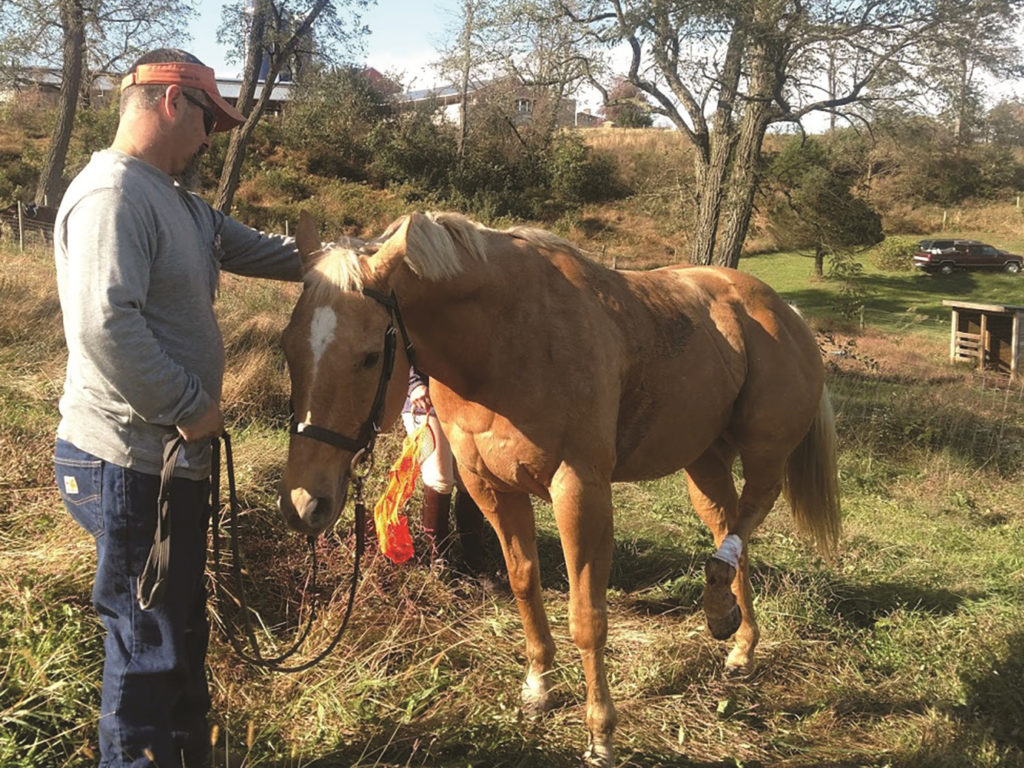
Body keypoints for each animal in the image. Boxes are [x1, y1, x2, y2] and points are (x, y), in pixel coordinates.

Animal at [280, 211, 839, 768]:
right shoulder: (492, 489)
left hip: (764, 451)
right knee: (729, 527)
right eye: (289, 346)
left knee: (751, 512)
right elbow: (524, 583)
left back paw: (725, 612)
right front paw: (538, 686)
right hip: (702, 461)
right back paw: (735, 634)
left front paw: (601, 733)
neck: (503, 339)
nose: (305, 503)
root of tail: (780, 309)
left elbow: (587, 616)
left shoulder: (580, 491)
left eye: (370, 356)